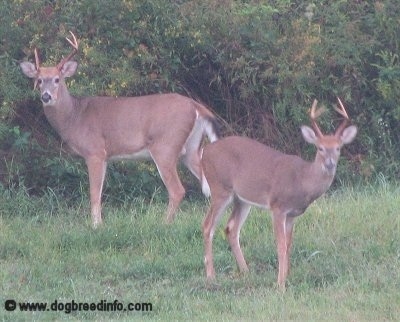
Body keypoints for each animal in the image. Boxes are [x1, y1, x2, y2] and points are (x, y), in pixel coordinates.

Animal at [18, 31, 219, 228]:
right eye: (39, 80)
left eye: (57, 79)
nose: (46, 96)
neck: (75, 116)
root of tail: (196, 106)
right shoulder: (105, 156)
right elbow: (99, 192)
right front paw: (99, 222)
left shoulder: (95, 151)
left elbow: (94, 192)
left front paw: (96, 226)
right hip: (190, 148)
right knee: (209, 186)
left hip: (165, 146)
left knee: (178, 190)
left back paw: (164, 224)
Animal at [202, 98, 358, 290]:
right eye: (320, 148)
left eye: (338, 148)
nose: (329, 164)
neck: (302, 180)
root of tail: (205, 152)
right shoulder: (278, 207)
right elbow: (281, 245)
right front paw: (280, 284)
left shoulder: (292, 214)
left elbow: (289, 244)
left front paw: (288, 275)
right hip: (219, 188)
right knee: (208, 226)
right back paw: (211, 275)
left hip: (242, 199)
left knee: (231, 228)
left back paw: (246, 271)